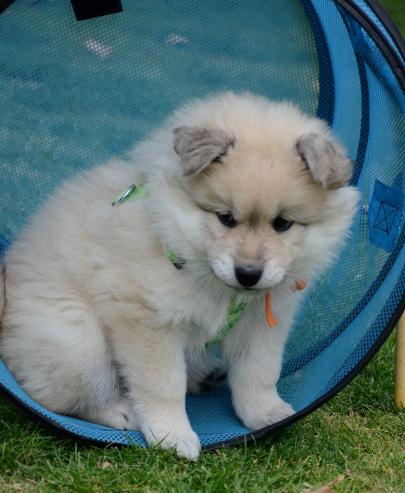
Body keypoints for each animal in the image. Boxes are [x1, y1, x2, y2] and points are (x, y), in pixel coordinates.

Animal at [1, 92, 358, 458]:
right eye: (225, 218)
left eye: (283, 223)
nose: (248, 273)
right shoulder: (147, 320)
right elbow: (163, 385)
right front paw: (171, 436)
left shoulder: (261, 322)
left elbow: (259, 371)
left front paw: (266, 414)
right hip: (77, 342)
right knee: (63, 396)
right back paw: (121, 412)